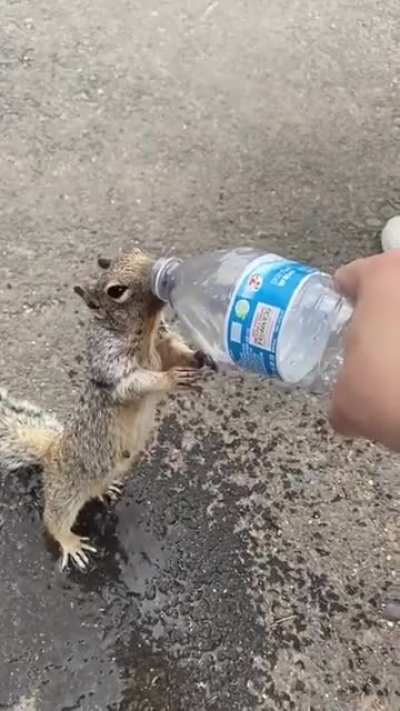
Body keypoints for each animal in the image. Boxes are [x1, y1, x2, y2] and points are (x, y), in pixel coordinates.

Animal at [0, 247, 215, 571]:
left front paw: (200, 356)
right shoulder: (113, 366)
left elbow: (176, 351)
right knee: (54, 519)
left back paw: (105, 490)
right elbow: (137, 383)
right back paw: (71, 543)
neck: (146, 331)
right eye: (116, 291)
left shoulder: (163, 343)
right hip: (66, 490)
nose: (158, 269)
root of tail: (50, 452)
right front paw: (170, 378)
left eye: (136, 252)